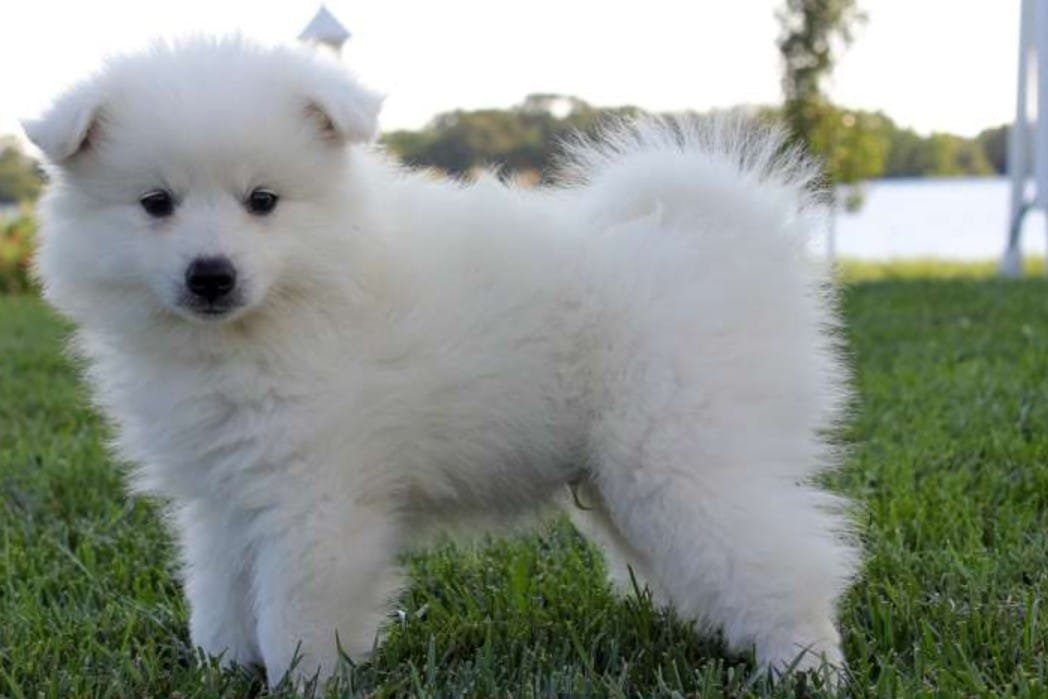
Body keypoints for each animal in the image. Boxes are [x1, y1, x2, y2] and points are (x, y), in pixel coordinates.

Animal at [26, 38, 859, 687]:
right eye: (155, 203)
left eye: (262, 200)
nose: (211, 274)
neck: (283, 310)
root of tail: (729, 240)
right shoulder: (224, 497)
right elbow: (221, 595)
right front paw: (223, 669)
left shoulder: (317, 498)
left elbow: (295, 611)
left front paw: (301, 679)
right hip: (633, 478)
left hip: (683, 457)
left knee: (787, 559)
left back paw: (804, 664)